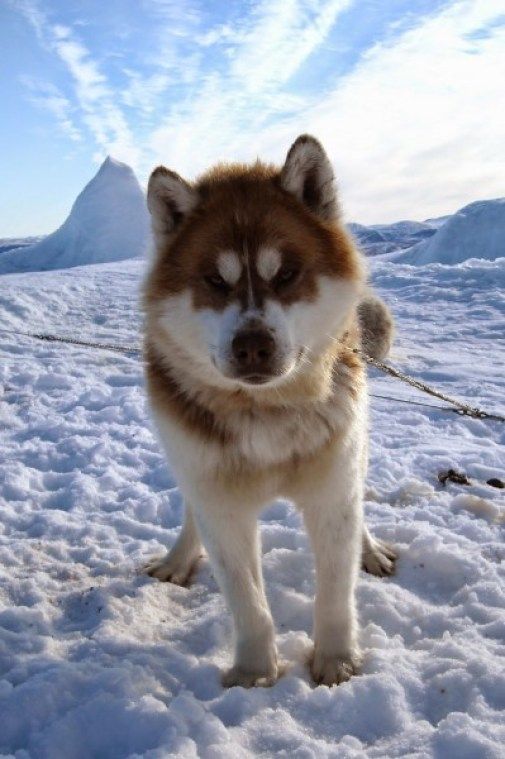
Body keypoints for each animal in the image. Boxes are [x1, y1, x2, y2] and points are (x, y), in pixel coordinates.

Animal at [141, 135, 394, 688]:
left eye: (287, 274)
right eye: (215, 280)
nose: (252, 345)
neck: (268, 415)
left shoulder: (332, 492)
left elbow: (335, 592)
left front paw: (336, 660)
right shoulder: (220, 502)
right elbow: (248, 602)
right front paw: (254, 672)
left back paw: (370, 549)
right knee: (191, 514)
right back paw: (178, 559)